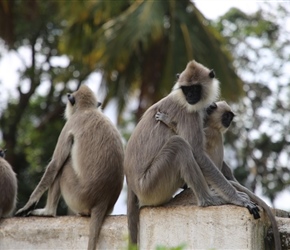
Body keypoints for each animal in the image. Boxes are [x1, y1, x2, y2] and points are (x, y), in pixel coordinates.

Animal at [15, 84, 124, 250]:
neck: (87, 109)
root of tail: (102, 201)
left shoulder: (70, 124)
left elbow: (55, 165)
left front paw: (28, 205)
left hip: (77, 195)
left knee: (63, 167)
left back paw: (48, 212)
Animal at [125, 60, 260, 244]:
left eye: (195, 88)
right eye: (186, 89)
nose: (190, 96)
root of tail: (132, 185)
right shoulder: (189, 112)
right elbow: (197, 153)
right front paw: (238, 198)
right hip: (150, 186)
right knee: (180, 145)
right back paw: (208, 200)